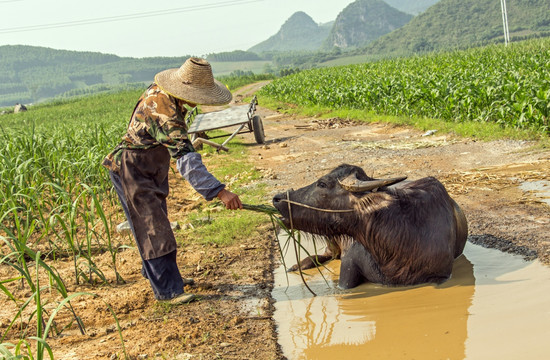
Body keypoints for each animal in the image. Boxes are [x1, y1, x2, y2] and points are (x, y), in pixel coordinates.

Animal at [274, 165, 468, 288]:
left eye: (322, 184)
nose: (278, 198)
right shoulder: (349, 262)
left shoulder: (442, 276)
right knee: (329, 254)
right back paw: (301, 264)